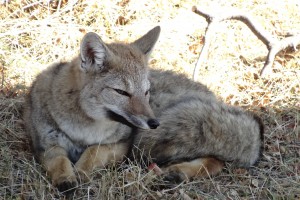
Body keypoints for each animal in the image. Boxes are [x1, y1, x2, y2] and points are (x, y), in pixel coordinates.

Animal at [23, 25, 262, 193]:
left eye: (146, 92)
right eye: (122, 92)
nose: (154, 123)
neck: (84, 128)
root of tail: (216, 98)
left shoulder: (122, 145)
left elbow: (92, 152)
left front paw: (81, 172)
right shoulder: (46, 145)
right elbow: (60, 162)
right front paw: (66, 179)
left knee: (216, 161)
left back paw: (178, 173)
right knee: (217, 160)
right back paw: (177, 174)